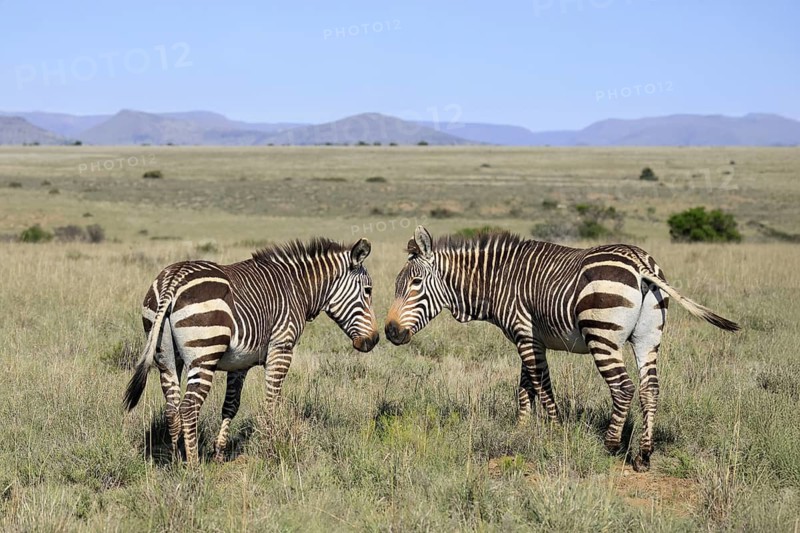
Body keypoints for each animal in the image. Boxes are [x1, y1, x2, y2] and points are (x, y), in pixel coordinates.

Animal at [124, 237, 379, 464]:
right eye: (368, 291)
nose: (374, 340)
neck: (297, 288)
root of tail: (173, 279)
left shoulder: (240, 363)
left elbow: (230, 406)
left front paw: (219, 453)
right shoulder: (281, 349)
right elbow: (271, 402)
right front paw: (271, 445)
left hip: (166, 357)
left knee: (171, 408)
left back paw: (177, 459)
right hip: (203, 356)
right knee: (188, 408)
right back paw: (194, 468)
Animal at [385, 226, 739, 471]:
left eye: (415, 284)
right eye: (397, 285)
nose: (389, 331)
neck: (497, 281)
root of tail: (639, 262)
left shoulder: (525, 334)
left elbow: (542, 386)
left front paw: (555, 431)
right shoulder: (530, 338)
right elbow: (524, 387)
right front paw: (521, 429)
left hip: (602, 335)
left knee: (623, 387)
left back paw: (611, 444)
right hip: (648, 336)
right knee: (650, 388)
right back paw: (643, 455)